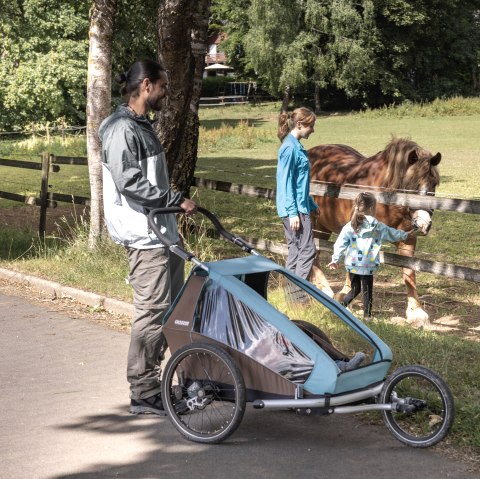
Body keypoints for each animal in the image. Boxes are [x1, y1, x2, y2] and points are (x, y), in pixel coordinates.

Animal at [310, 139, 440, 326]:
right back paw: (324, 289)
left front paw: (416, 312)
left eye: (434, 184)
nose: (424, 224)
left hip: (323, 226)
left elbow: (409, 272)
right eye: (411, 186)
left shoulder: (407, 239)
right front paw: (344, 296)